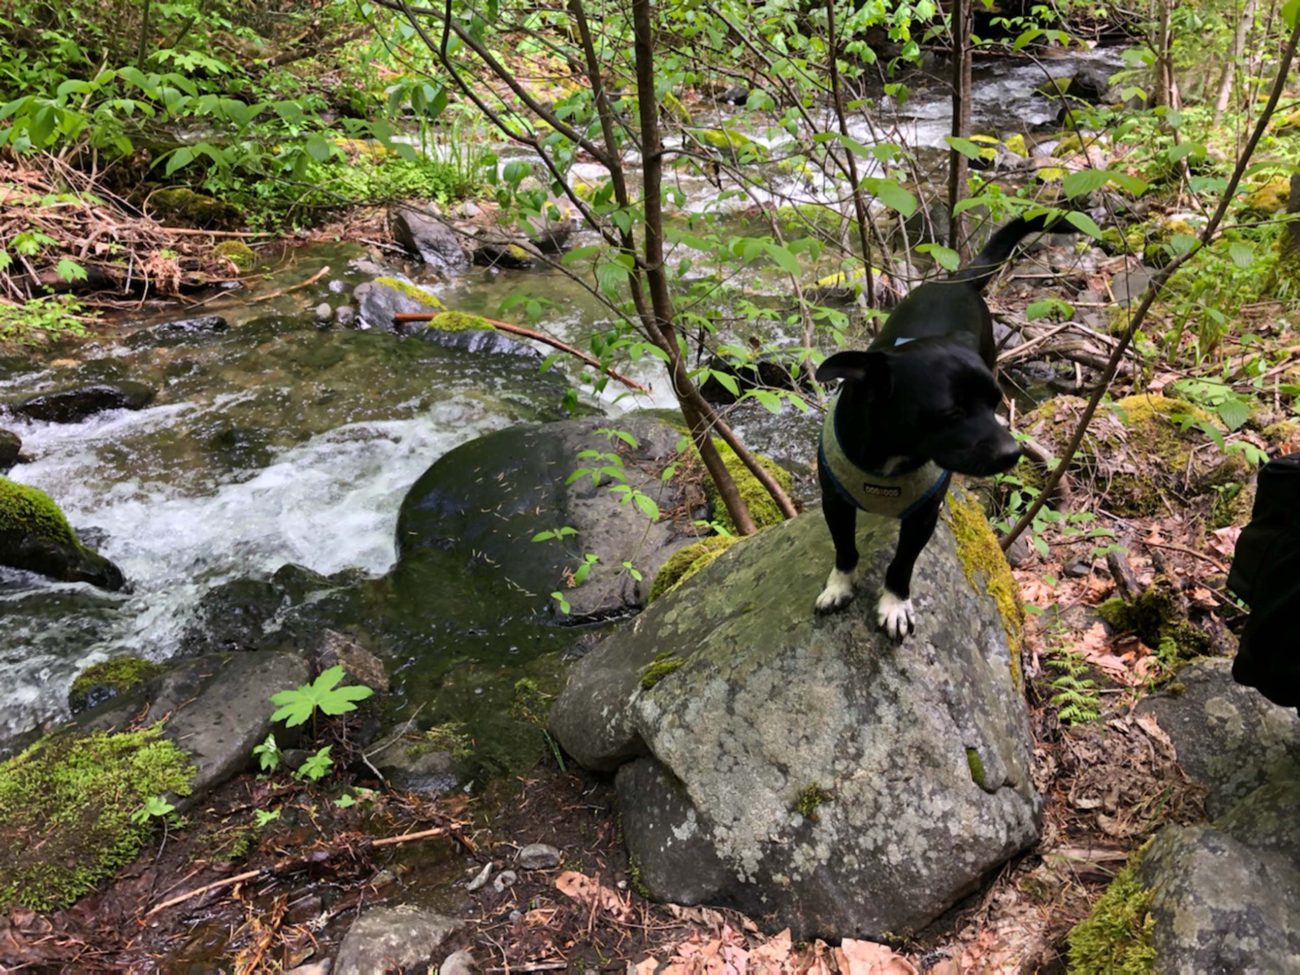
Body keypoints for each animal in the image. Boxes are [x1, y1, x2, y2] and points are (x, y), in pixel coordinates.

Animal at [811, 213, 1076, 637]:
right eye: (951, 414)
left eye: (995, 402)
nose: (1012, 453)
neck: (890, 457)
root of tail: (959, 281)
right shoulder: (834, 501)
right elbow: (845, 548)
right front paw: (839, 586)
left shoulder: (922, 517)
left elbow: (901, 564)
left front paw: (894, 604)